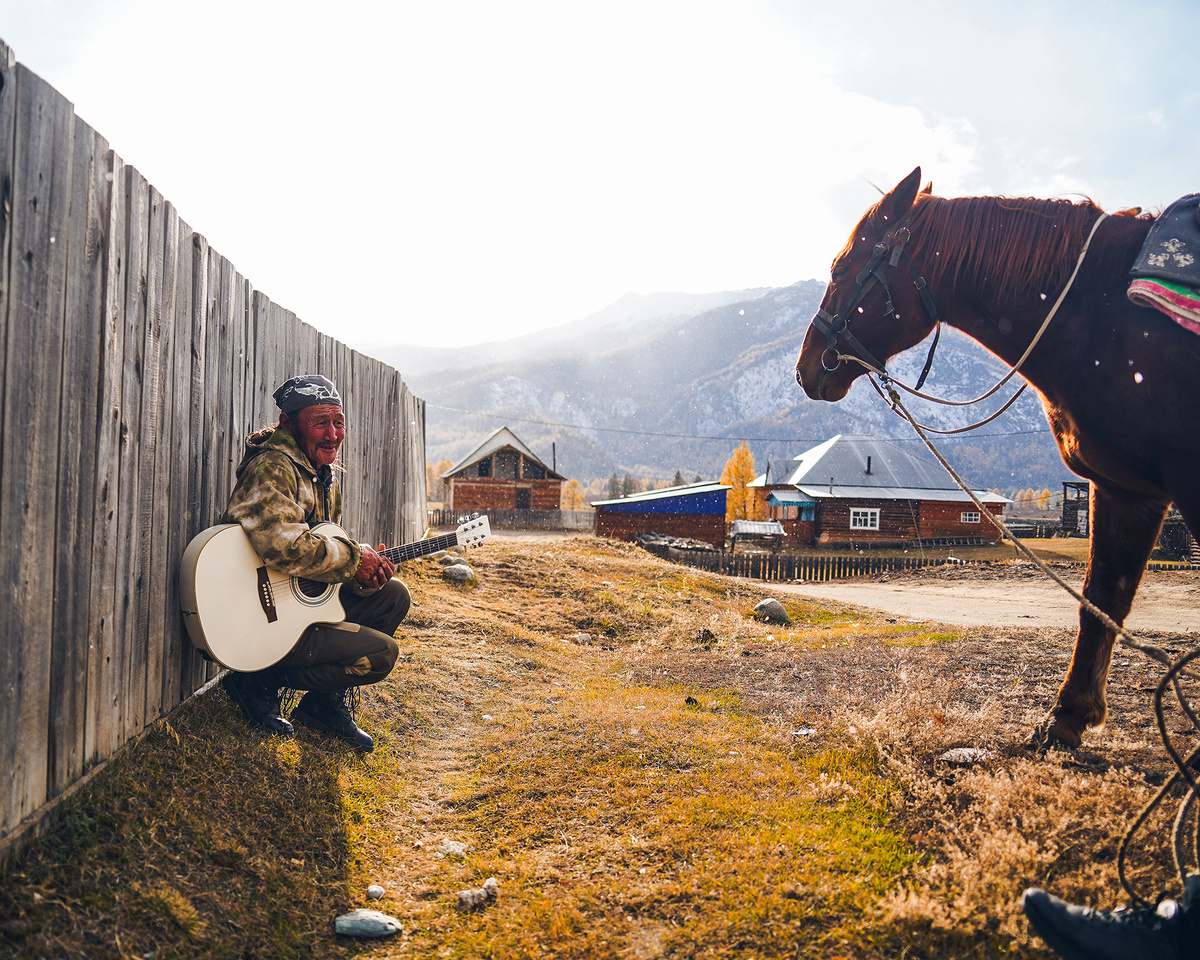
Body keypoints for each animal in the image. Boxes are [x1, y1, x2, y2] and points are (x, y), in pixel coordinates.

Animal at [795, 166, 1200, 749]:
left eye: (841, 268)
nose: (806, 366)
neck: (1099, 312)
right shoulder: (1127, 488)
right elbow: (1102, 597)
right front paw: (1068, 717)